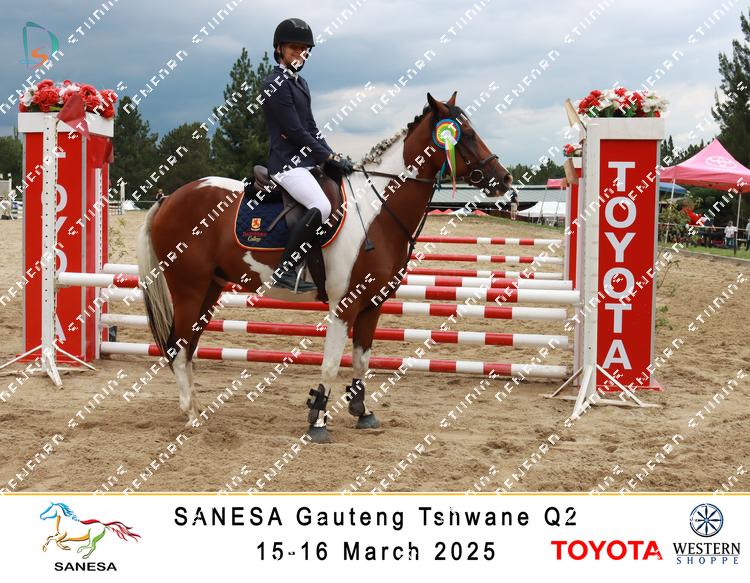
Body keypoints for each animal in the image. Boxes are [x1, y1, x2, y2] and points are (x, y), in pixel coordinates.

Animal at [136, 92, 513, 443]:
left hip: (210, 289)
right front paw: (317, 421)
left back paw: (196, 408)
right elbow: (331, 365)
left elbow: (362, 360)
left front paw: (362, 412)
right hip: (188, 288)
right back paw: (191, 416)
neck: (377, 209)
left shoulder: (373, 304)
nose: (505, 180)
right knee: (178, 345)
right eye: (465, 135)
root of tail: (168, 198)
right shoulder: (344, 304)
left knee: (188, 346)